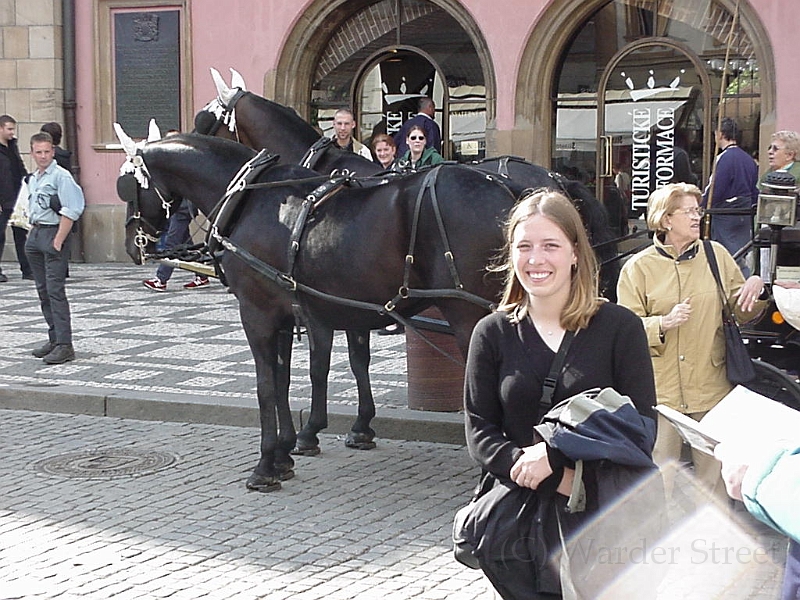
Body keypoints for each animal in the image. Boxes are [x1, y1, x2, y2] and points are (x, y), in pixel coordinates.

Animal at [117, 134, 520, 490]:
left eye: (127, 186)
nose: (132, 244)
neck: (251, 196)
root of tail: (510, 191)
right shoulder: (287, 315)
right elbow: (284, 381)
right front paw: (284, 454)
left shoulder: (257, 313)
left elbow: (267, 386)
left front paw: (265, 465)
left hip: (468, 317)